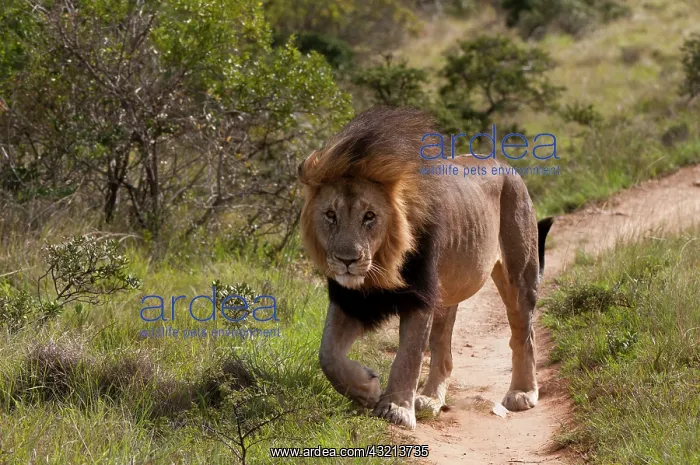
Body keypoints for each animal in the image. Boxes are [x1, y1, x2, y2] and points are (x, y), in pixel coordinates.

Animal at [298, 106, 554, 430]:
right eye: (330, 215)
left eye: (370, 216)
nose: (347, 260)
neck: (383, 265)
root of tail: (507, 167)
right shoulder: (350, 299)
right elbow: (328, 355)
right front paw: (367, 389)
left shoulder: (419, 297)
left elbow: (408, 356)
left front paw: (395, 409)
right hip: (445, 292)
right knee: (443, 351)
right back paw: (431, 399)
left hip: (519, 275)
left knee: (524, 335)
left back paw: (522, 393)